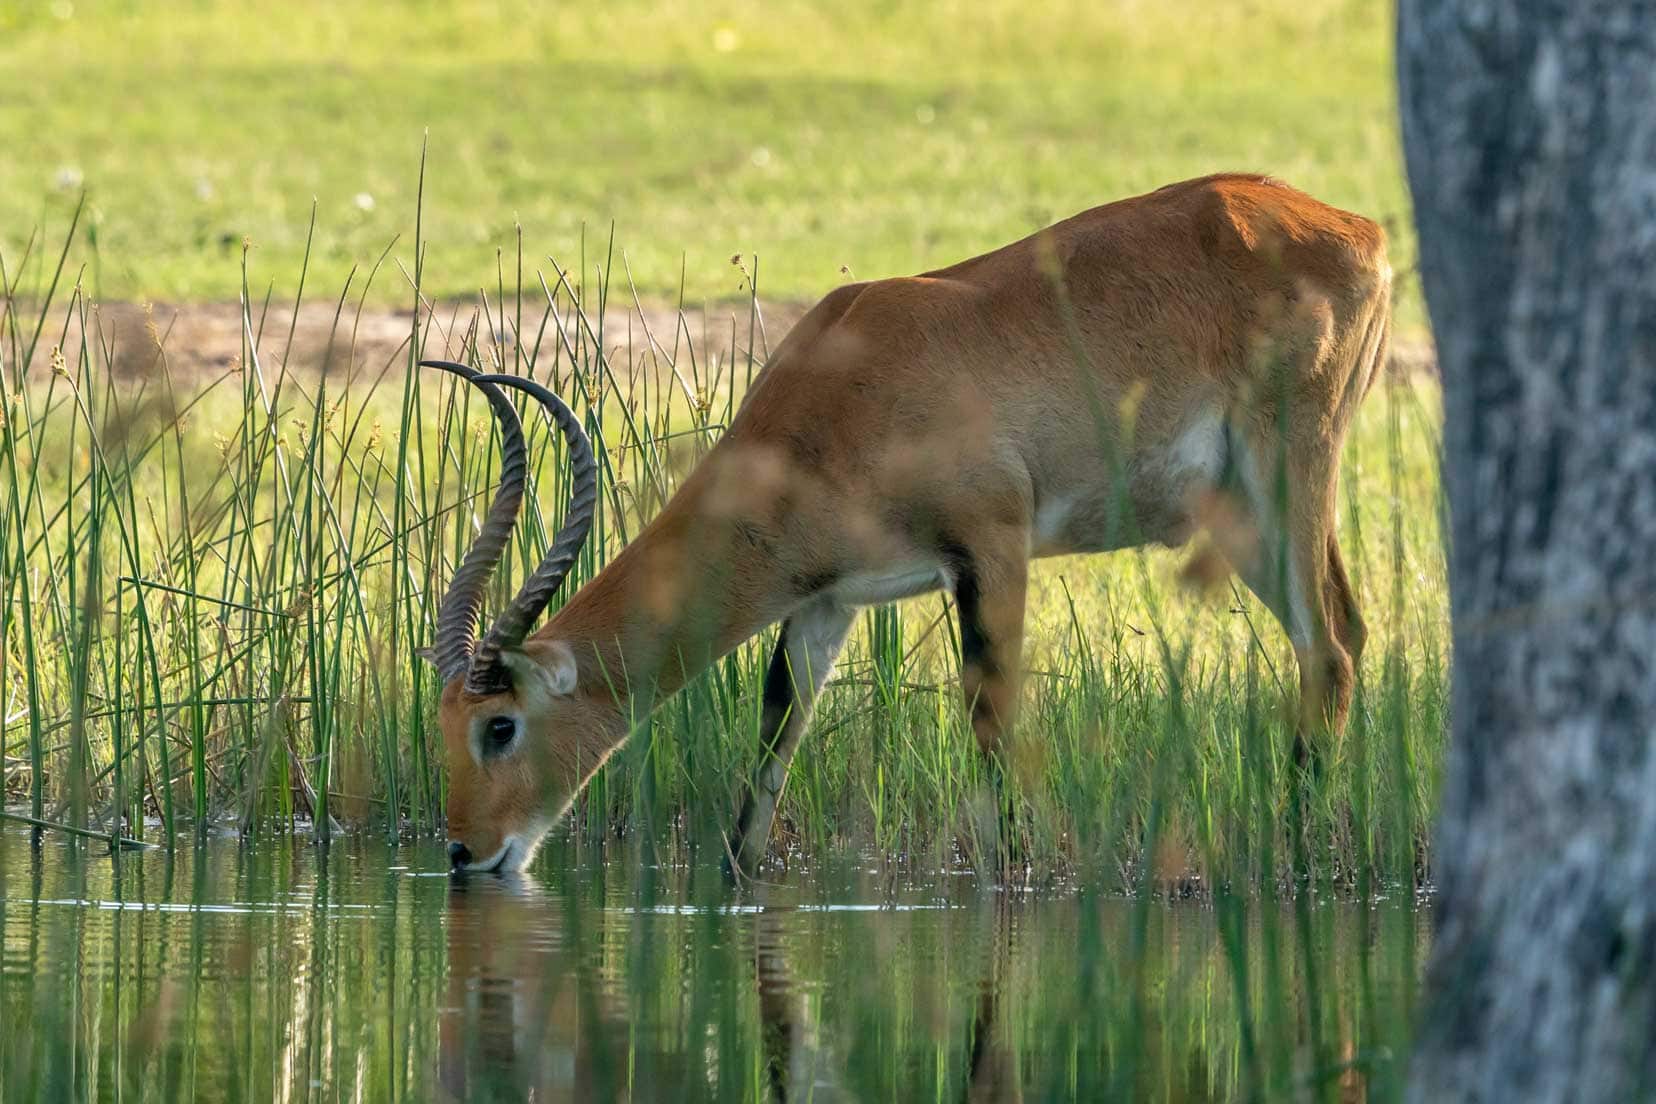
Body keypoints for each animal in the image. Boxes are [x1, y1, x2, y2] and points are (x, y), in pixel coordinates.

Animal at [423, 172, 1384, 873]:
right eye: (441, 724)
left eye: (499, 724)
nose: (465, 854)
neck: (839, 391)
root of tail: (1356, 227)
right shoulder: (827, 600)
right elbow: (771, 752)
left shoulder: (991, 548)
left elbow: (992, 724)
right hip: (1241, 517)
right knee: (1341, 635)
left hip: (1288, 472)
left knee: (1329, 646)